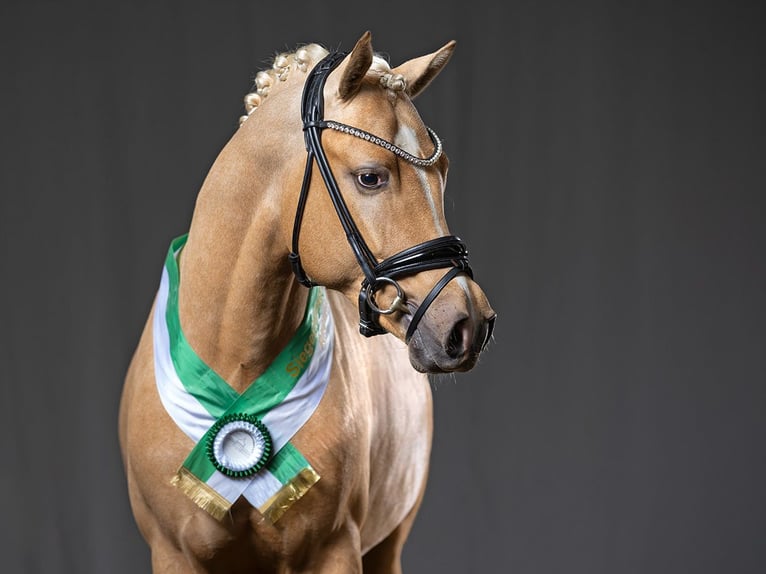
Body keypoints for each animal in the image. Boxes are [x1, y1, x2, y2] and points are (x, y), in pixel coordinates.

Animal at [119, 31, 495, 573]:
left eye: (441, 171)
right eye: (370, 177)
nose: (468, 324)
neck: (235, 362)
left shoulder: (333, 551)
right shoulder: (174, 555)